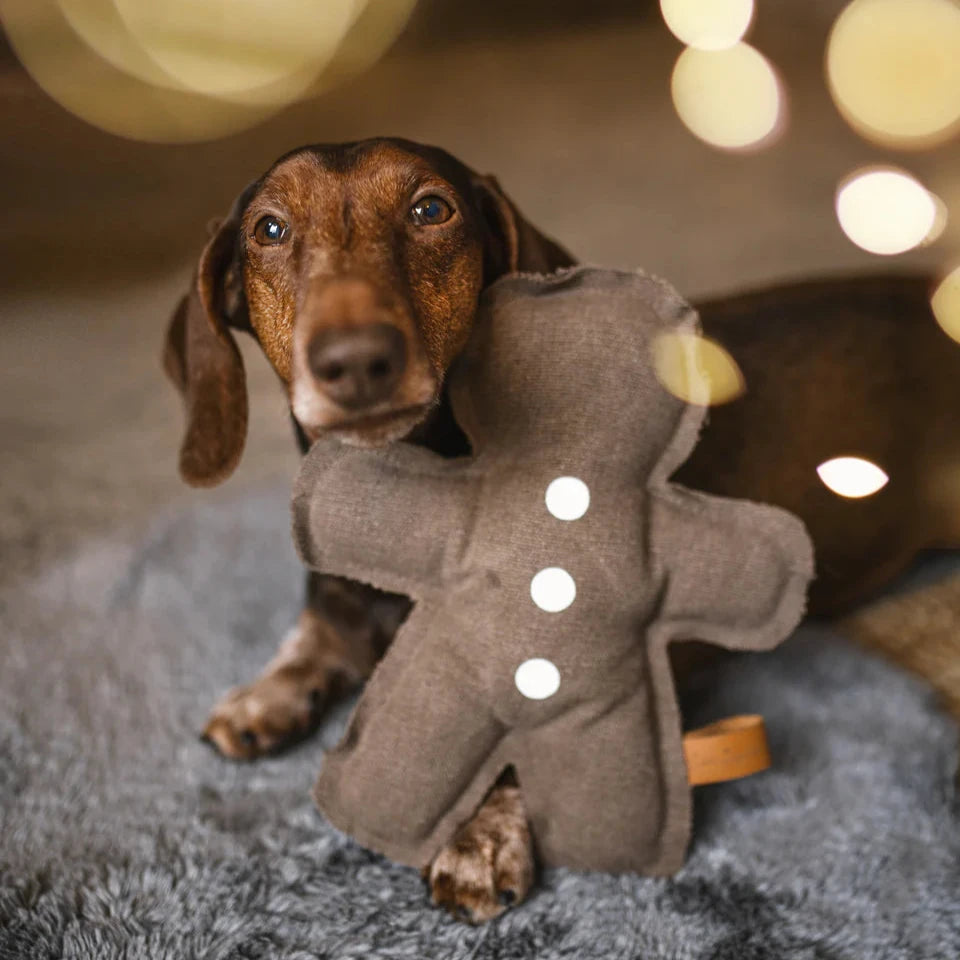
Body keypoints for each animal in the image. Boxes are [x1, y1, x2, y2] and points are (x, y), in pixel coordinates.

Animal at [163, 135, 960, 924]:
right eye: (269, 228)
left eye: (431, 209)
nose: (355, 359)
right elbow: (314, 633)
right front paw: (267, 693)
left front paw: (480, 837)